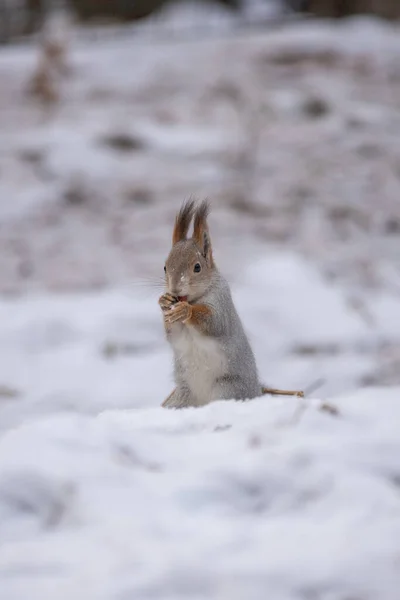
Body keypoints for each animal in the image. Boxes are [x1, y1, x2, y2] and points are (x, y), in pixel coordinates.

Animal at [159, 199, 262, 410]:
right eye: (165, 267)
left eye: (197, 267)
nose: (174, 290)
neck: (194, 298)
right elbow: (173, 335)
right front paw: (163, 302)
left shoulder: (222, 302)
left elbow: (214, 323)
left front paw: (186, 311)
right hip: (182, 397)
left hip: (228, 390)